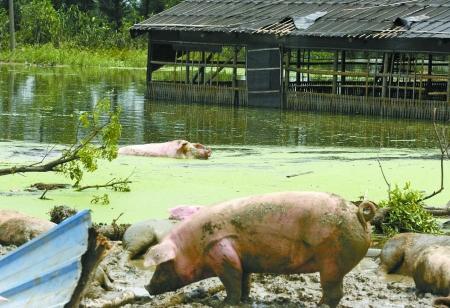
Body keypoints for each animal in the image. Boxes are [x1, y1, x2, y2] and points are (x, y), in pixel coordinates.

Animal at [144, 191, 376, 306]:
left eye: (163, 266)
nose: (147, 287)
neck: (194, 246)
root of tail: (359, 213)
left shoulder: (222, 254)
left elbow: (232, 281)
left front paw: (223, 303)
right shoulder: (242, 259)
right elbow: (244, 280)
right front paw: (245, 300)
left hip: (332, 263)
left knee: (334, 292)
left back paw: (319, 306)